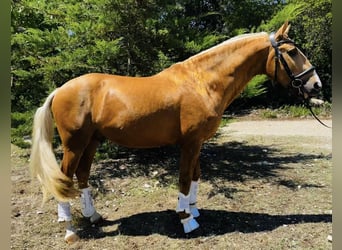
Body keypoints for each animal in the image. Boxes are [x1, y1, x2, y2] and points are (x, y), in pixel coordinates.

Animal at [28, 22, 320, 243]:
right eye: (292, 51)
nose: (316, 85)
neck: (202, 82)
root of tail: (60, 89)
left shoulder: (198, 143)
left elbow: (195, 177)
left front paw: (193, 210)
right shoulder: (189, 143)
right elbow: (183, 179)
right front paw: (186, 221)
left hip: (92, 141)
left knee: (83, 174)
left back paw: (93, 216)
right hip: (74, 144)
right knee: (64, 179)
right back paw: (70, 230)